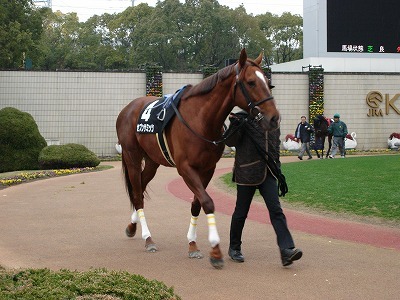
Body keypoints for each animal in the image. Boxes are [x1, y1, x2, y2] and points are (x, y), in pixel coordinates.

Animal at [114, 48, 280, 268]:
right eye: (251, 82)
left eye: (269, 83)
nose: (274, 118)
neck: (201, 119)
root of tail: (128, 108)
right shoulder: (186, 169)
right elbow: (208, 202)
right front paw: (215, 250)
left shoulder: (208, 168)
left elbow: (196, 204)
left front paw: (192, 244)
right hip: (132, 156)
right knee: (138, 194)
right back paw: (148, 239)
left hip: (152, 161)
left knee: (139, 188)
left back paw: (132, 227)